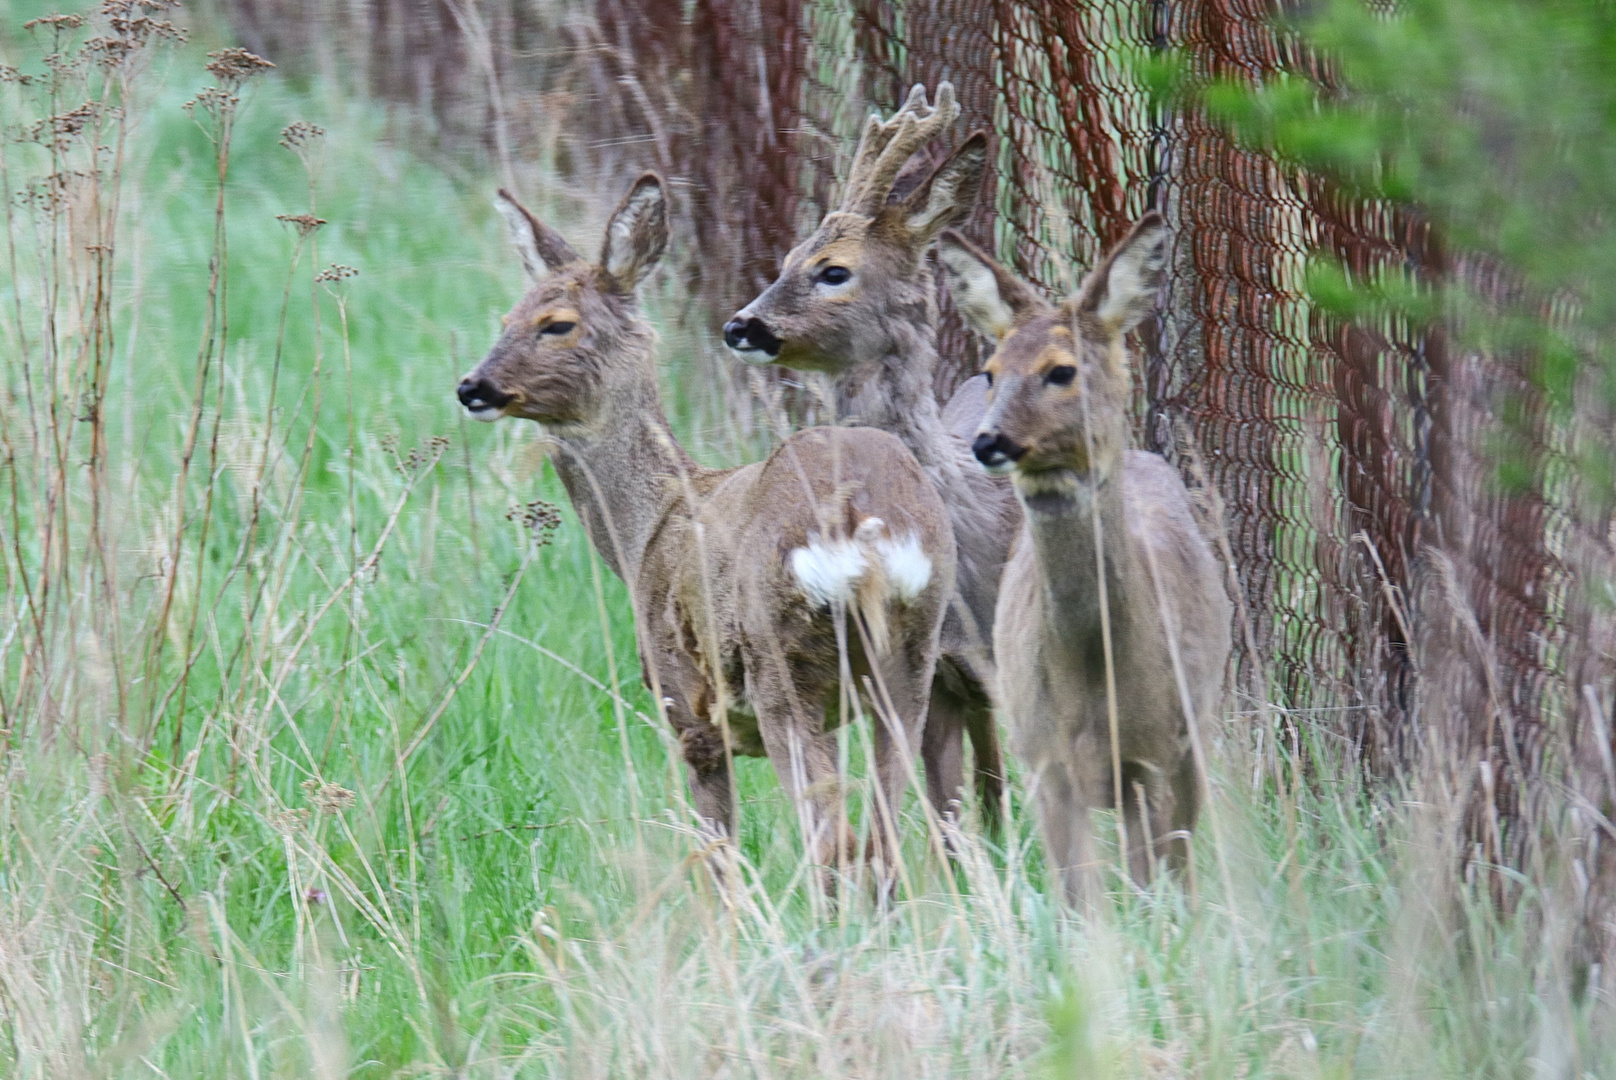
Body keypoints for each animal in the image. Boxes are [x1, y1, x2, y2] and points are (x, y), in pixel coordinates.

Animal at [458, 175, 956, 885]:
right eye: (505, 319)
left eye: (556, 324)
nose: (473, 387)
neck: (647, 529)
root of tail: (863, 519)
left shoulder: (687, 712)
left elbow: (717, 860)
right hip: (913, 655)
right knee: (884, 842)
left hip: (780, 664)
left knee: (833, 842)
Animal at [943, 215, 1228, 898]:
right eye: (990, 370)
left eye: (1061, 370)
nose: (987, 440)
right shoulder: (1045, 759)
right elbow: (1078, 900)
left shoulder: (1153, 752)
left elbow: (1153, 886)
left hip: (1196, 733)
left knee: (1180, 862)